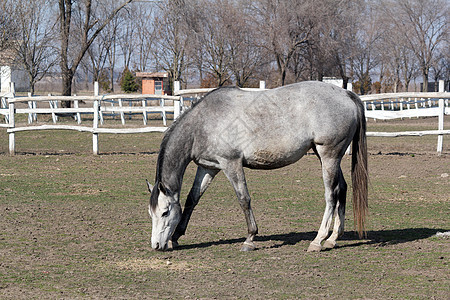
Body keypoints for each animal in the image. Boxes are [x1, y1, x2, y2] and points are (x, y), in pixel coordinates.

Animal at [146, 81, 368, 252]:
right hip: (328, 157)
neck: (204, 122)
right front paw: (176, 236)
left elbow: (244, 199)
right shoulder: (209, 167)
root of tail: (346, 94)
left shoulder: (231, 164)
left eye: (165, 212)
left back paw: (318, 240)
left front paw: (250, 239)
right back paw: (333, 239)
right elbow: (192, 199)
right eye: (151, 213)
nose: (156, 245)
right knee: (342, 189)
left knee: (331, 195)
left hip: (328, 156)